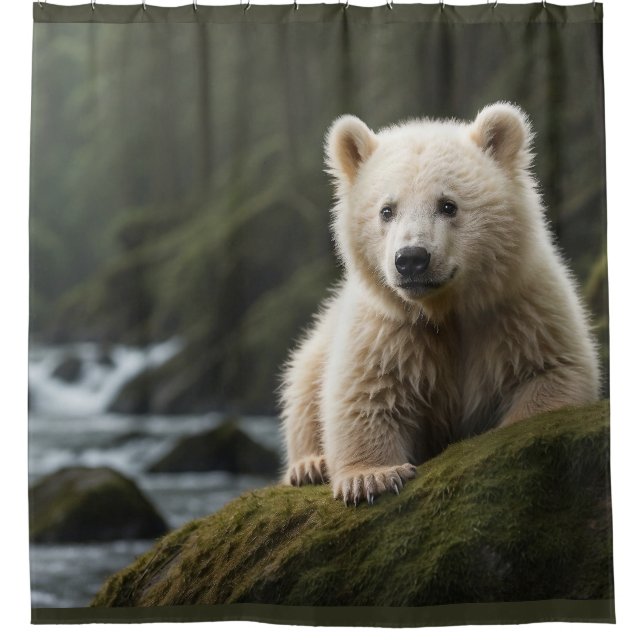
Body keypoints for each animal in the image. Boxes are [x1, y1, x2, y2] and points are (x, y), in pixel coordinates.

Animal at [279, 102, 600, 506]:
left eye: (448, 205)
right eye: (386, 210)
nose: (411, 259)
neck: (442, 309)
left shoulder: (519, 308)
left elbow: (553, 370)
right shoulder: (388, 329)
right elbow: (364, 392)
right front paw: (372, 477)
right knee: (303, 379)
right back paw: (310, 465)